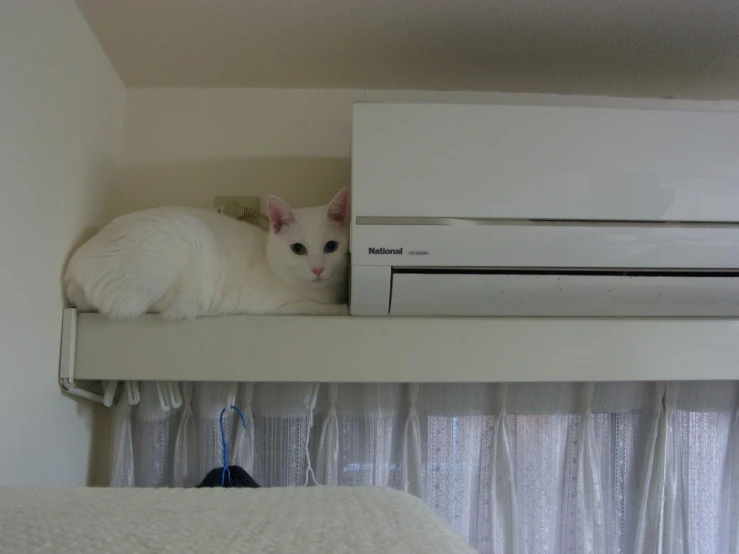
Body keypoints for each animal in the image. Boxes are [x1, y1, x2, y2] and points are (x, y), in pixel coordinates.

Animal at [65, 190, 352, 320]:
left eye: (331, 246)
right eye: (298, 249)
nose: (318, 269)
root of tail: (73, 270)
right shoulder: (276, 307)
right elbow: (317, 309)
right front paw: (343, 308)